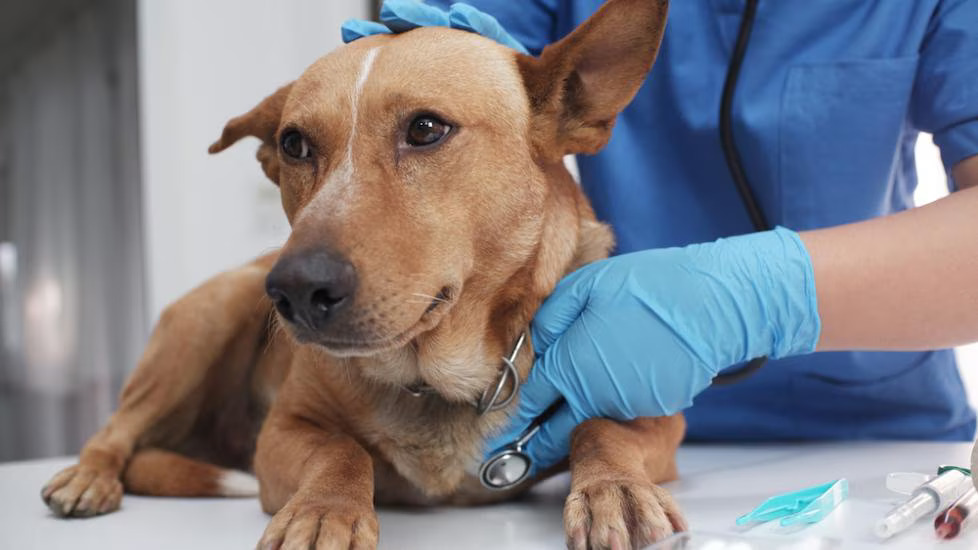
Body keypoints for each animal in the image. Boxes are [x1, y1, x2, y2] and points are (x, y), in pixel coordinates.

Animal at [42, 2, 684, 548]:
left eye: (426, 129)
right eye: (293, 144)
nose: (295, 290)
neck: (435, 375)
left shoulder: (660, 421)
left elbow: (600, 428)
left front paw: (614, 489)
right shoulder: (281, 435)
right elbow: (340, 450)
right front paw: (324, 510)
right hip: (210, 314)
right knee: (117, 429)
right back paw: (88, 477)